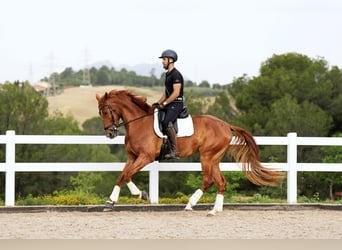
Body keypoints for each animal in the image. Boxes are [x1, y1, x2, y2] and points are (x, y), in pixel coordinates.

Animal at [96, 89, 284, 215]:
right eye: (100, 113)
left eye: (105, 111)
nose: (110, 134)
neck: (138, 123)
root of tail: (226, 125)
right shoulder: (132, 156)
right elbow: (122, 175)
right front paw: (110, 202)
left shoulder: (145, 157)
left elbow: (128, 175)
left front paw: (141, 194)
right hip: (214, 158)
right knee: (221, 182)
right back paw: (215, 210)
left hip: (207, 156)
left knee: (208, 180)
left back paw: (190, 204)